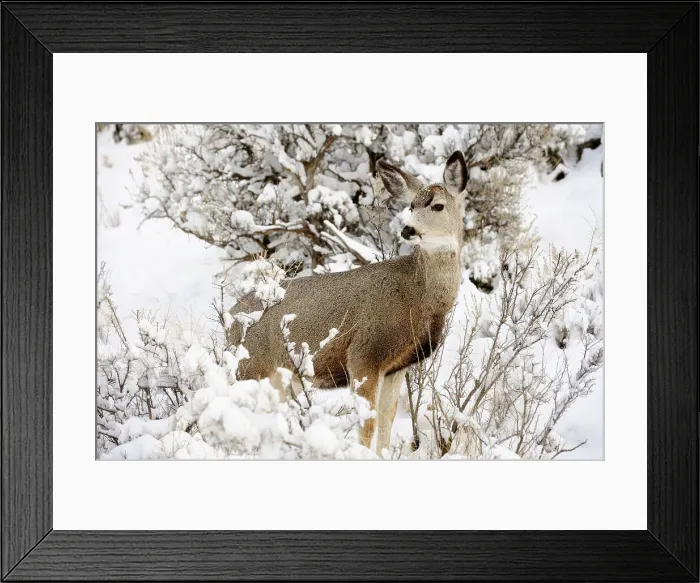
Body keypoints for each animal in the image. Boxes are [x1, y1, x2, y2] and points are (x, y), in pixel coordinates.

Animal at [227, 151, 467, 456]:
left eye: (437, 205)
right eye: (412, 205)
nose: (407, 229)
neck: (418, 296)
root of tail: (231, 317)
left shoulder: (396, 366)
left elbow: (387, 417)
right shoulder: (364, 353)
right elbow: (367, 422)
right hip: (250, 366)